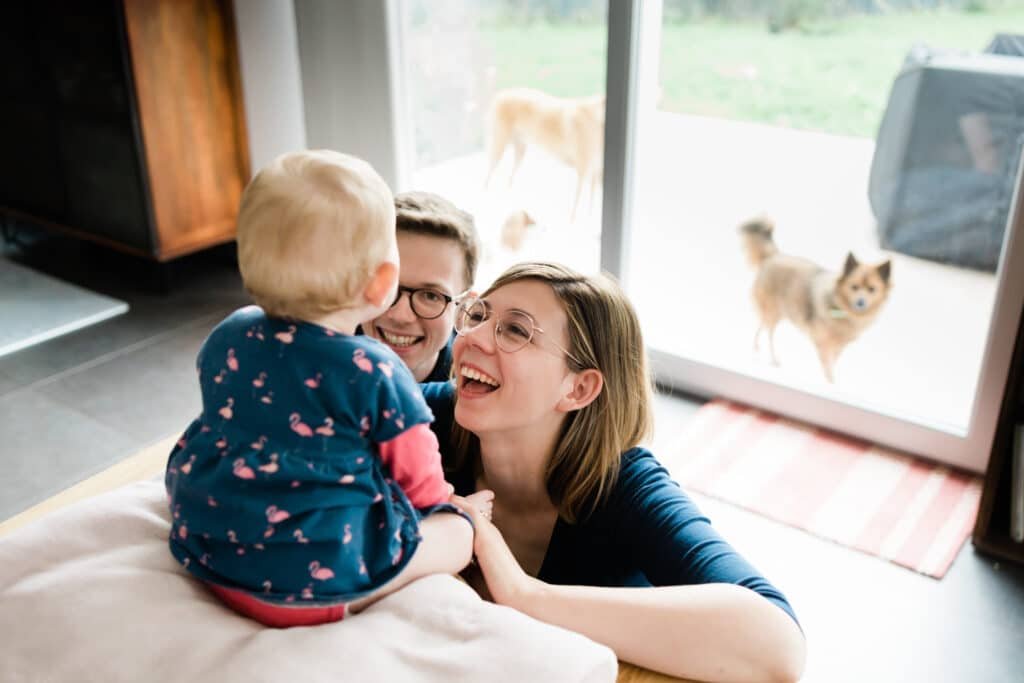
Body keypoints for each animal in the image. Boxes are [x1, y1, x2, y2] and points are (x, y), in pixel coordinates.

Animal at [483, 87, 602, 222]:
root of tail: (502, 93)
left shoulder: (595, 171)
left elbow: (591, 202)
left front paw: (590, 217)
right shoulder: (583, 171)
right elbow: (576, 205)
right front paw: (573, 221)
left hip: (520, 150)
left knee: (510, 179)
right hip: (499, 145)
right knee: (487, 176)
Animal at [741, 216, 892, 382]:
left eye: (872, 289)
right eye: (854, 287)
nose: (861, 303)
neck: (841, 310)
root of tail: (773, 256)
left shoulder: (838, 347)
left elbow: (832, 365)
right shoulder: (823, 344)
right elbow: (827, 368)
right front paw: (829, 382)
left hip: (777, 312)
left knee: (761, 326)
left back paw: (756, 347)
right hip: (773, 311)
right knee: (769, 333)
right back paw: (773, 358)